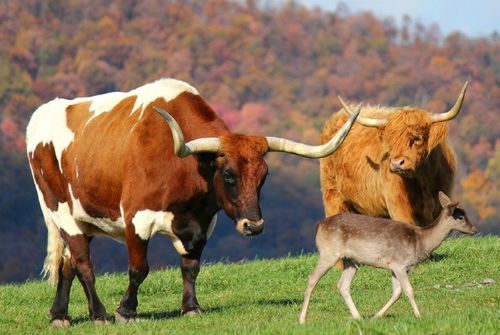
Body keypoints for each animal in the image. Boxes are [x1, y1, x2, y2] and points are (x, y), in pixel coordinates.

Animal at [27, 77, 358, 326]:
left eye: (264, 176)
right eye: (228, 175)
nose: (253, 225)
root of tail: (43, 113)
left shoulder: (202, 223)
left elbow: (191, 267)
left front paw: (191, 307)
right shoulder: (137, 217)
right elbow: (139, 268)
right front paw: (126, 311)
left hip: (83, 216)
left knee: (67, 263)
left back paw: (59, 315)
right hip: (60, 210)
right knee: (83, 263)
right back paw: (99, 314)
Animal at [320, 82, 468, 227]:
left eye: (417, 138)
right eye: (391, 141)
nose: (397, 163)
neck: (424, 179)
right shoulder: (399, 207)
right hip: (333, 198)